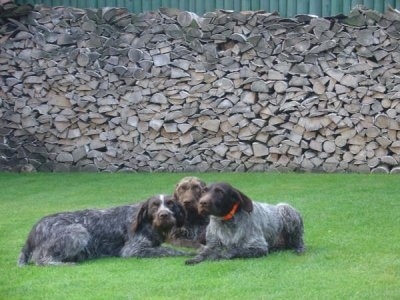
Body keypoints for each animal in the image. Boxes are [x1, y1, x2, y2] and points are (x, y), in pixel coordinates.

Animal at [18, 193, 188, 266]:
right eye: (154, 206)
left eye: (171, 204)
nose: (164, 215)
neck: (147, 223)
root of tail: (34, 230)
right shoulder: (133, 250)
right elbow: (169, 250)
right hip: (78, 232)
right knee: (41, 260)